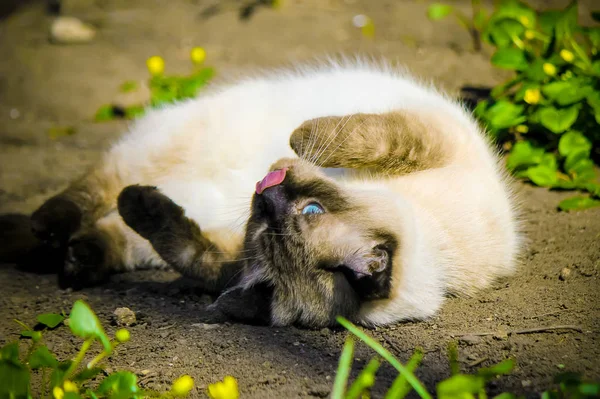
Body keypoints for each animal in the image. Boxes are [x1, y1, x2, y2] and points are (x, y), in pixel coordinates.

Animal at [24, 58, 520, 328]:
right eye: (314, 208)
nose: (264, 189)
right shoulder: (430, 137)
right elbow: (355, 135)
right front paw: (300, 136)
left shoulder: (231, 258)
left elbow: (193, 254)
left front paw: (147, 213)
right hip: (165, 144)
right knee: (96, 185)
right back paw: (46, 234)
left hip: (156, 202)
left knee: (111, 217)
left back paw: (79, 254)